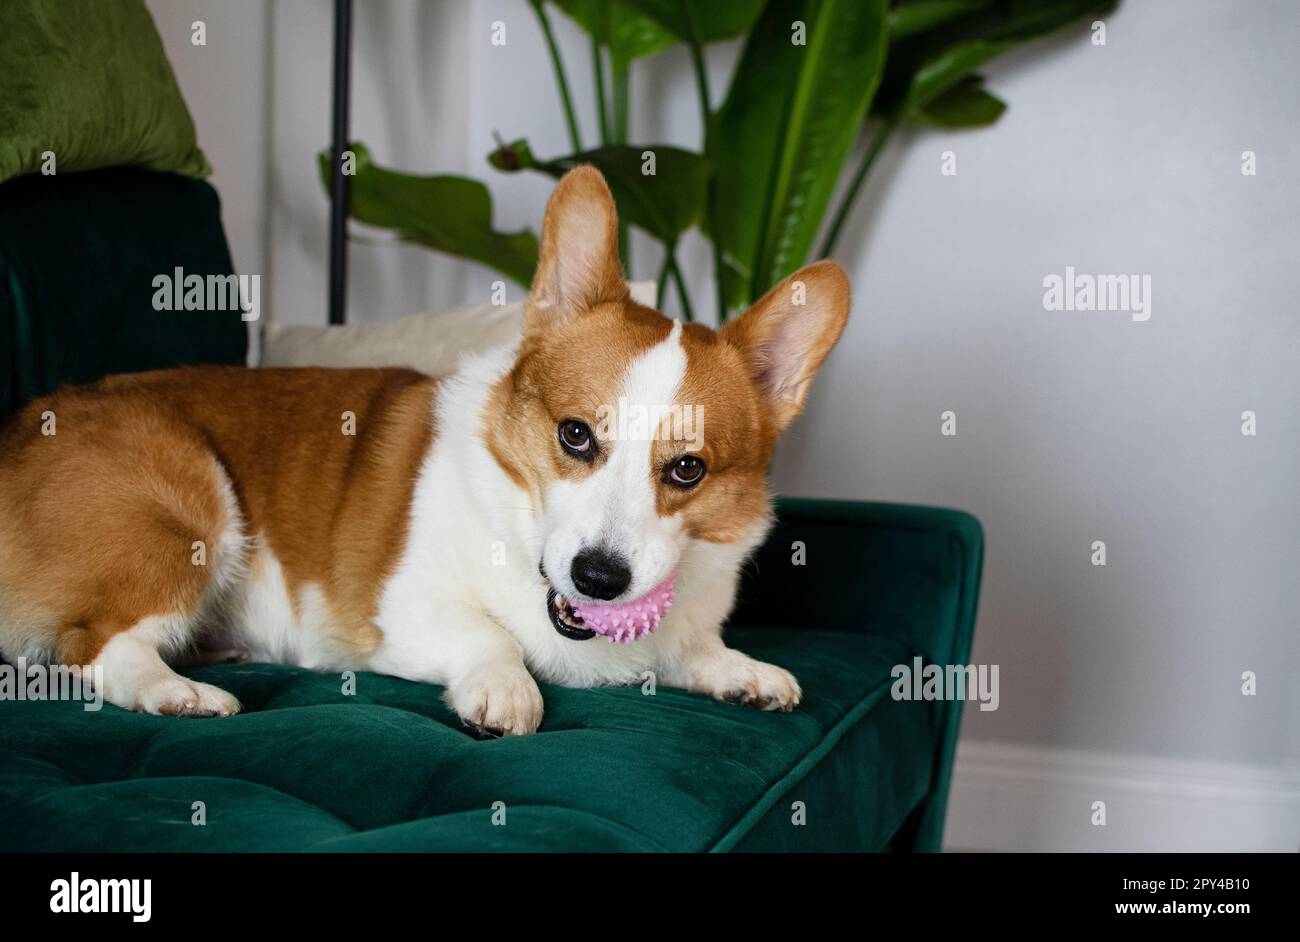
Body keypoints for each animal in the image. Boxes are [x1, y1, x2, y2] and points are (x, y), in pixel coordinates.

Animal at [0, 168, 852, 732]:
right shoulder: (404, 607)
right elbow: (490, 636)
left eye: (688, 469)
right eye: (575, 435)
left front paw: (741, 672)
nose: (599, 579)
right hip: (190, 503)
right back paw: (176, 692)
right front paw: (506, 689)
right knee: (93, 645)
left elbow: (694, 648)